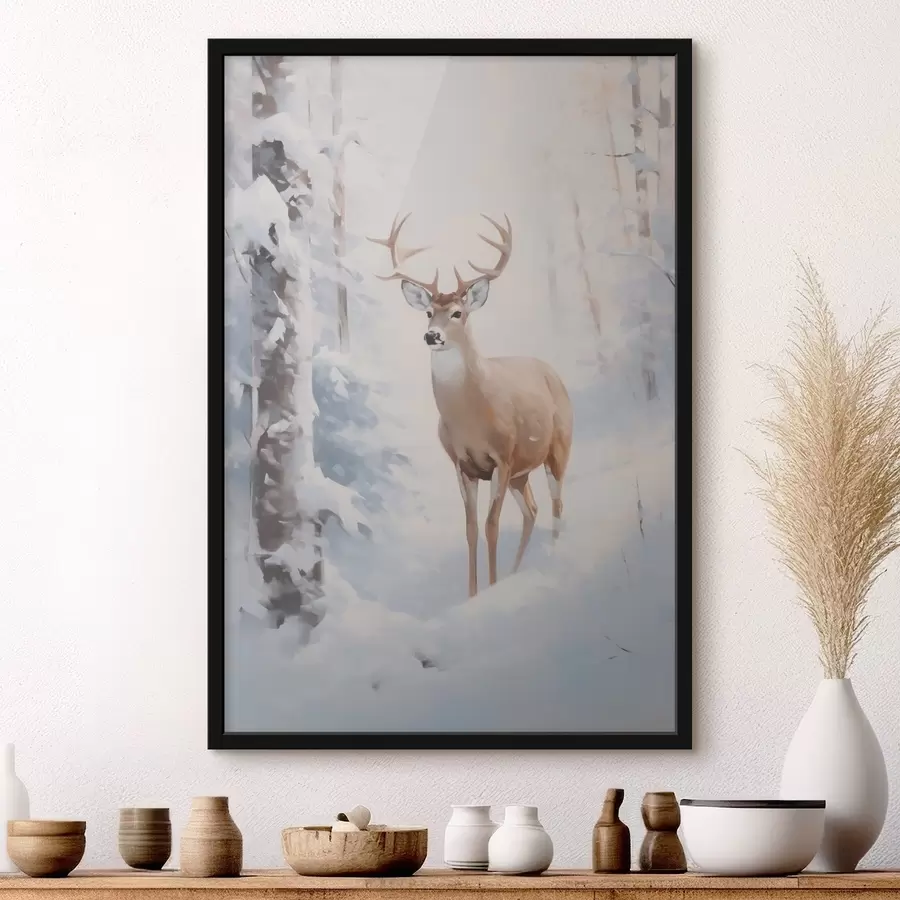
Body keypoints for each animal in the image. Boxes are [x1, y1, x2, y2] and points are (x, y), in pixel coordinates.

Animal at [371, 213, 573, 598]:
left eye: (457, 313)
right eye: (428, 312)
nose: (431, 336)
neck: (470, 419)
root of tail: (552, 371)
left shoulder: (503, 457)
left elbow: (491, 526)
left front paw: (489, 590)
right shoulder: (463, 463)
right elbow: (470, 528)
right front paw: (473, 593)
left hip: (558, 447)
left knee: (558, 504)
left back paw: (551, 557)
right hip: (522, 473)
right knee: (532, 509)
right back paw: (515, 572)